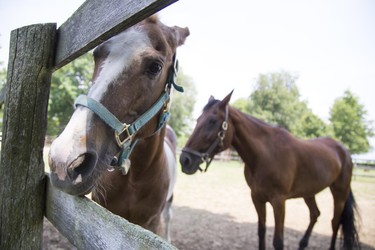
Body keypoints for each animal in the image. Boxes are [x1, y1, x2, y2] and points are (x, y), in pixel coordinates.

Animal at [181, 92, 360, 250]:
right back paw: (302, 244)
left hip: (339, 193)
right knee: (315, 214)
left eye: (212, 121)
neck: (266, 155)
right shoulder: (257, 198)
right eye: (198, 120)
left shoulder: (278, 201)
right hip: (309, 193)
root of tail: (344, 151)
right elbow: (261, 232)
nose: (184, 160)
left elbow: (278, 242)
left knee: (335, 222)